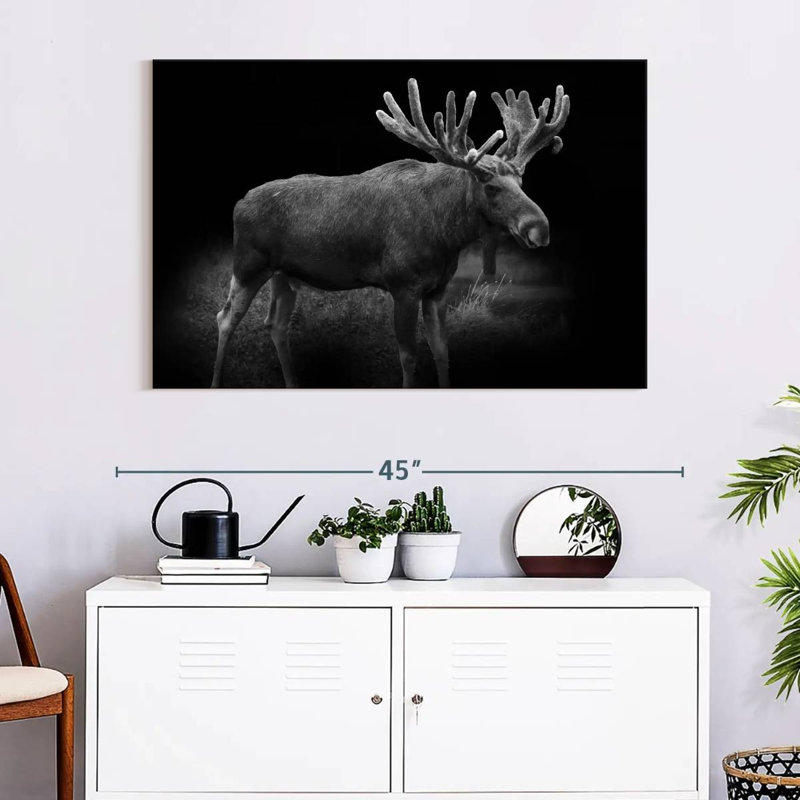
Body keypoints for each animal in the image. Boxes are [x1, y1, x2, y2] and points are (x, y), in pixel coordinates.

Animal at [211, 78, 569, 389]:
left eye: (521, 182)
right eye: (491, 186)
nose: (540, 228)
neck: (446, 236)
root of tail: (239, 203)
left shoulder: (437, 289)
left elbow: (442, 351)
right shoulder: (403, 284)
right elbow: (408, 357)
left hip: (284, 275)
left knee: (276, 324)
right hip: (248, 265)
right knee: (225, 316)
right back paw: (217, 382)